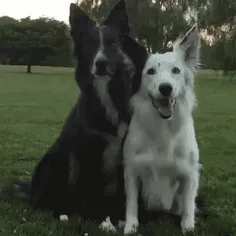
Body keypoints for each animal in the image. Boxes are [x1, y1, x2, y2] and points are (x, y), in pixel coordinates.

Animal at [28, 0, 147, 232]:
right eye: (91, 45)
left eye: (113, 44)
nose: (100, 63)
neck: (105, 95)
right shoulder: (86, 151)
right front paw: (103, 221)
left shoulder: (124, 153)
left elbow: (119, 193)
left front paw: (120, 218)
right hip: (53, 162)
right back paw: (64, 213)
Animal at [122, 24, 202, 234]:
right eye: (150, 71)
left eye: (176, 70)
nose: (166, 88)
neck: (163, 127)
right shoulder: (132, 170)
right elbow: (131, 202)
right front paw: (130, 225)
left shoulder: (190, 173)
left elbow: (188, 205)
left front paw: (188, 226)